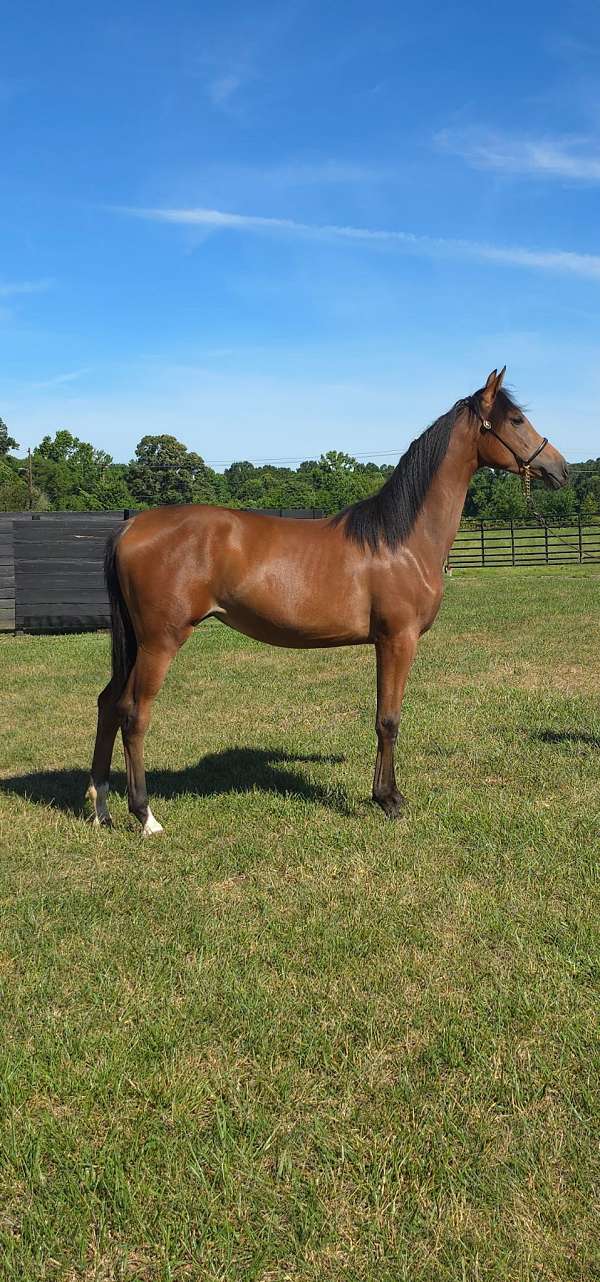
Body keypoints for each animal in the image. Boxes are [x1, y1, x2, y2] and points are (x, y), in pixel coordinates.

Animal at [87, 367, 568, 833]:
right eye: (516, 420)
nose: (560, 469)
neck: (400, 539)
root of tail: (131, 527)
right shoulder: (398, 639)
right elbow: (388, 719)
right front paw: (389, 800)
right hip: (160, 642)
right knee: (134, 715)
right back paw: (144, 815)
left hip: (136, 644)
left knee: (108, 704)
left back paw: (100, 808)